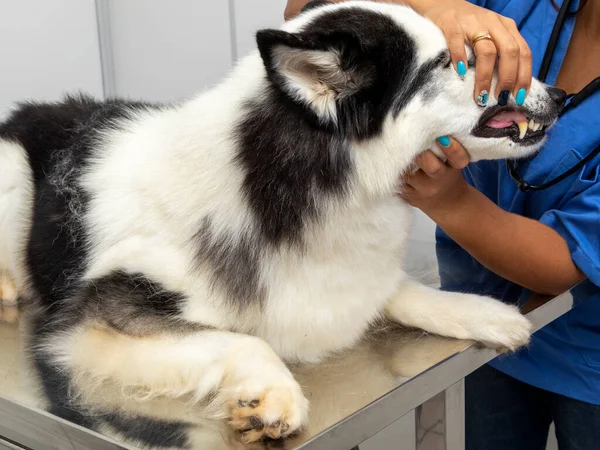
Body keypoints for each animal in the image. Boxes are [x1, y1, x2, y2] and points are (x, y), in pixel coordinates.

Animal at [0, 0, 564, 442]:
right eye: (448, 62)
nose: (560, 94)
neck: (279, 179)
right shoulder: (98, 318)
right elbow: (247, 339)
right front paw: (273, 394)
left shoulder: (344, 285)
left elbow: (406, 292)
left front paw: (486, 312)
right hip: (11, 169)